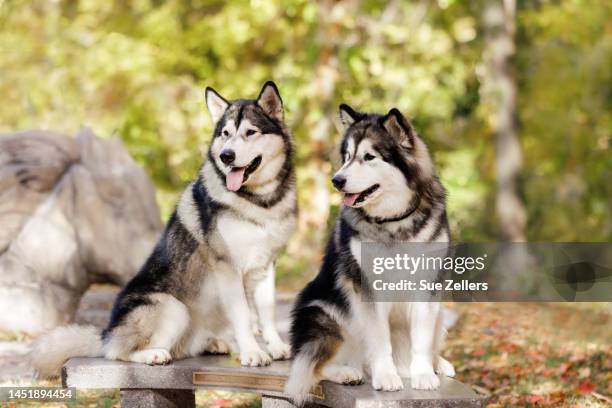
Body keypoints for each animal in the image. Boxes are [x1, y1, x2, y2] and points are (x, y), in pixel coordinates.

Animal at [32, 80, 296, 376]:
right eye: (226, 134)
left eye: (250, 132)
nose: (226, 156)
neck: (259, 202)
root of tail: (108, 332)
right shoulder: (227, 266)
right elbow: (242, 315)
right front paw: (252, 352)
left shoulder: (267, 264)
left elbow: (267, 311)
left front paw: (275, 347)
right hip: (172, 307)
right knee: (117, 353)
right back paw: (153, 354)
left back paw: (215, 343)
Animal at [284, 104, 452, 404]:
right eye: (347, 157)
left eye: (369, 157)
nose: (336, 180)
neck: (394, 222)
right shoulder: (368, 289)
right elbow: (379, 338)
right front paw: (386, 376)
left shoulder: (427, 286)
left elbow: (422, 338)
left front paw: (423, 374)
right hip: (322, 315)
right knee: (312, 366)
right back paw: (346, 372)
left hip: (442, 310)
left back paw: (437, 363)